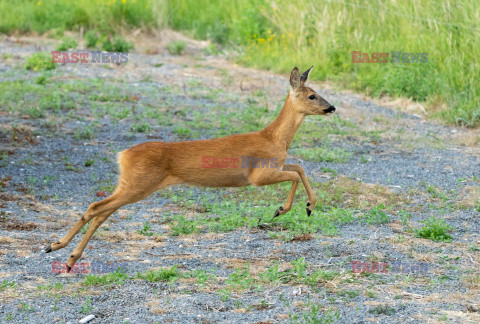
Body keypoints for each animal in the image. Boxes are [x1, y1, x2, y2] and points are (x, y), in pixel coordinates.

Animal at [47, 66, 336, 270]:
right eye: (312, 95)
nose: (331, 107)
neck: (274, 138)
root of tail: (123, 155)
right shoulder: (258, 175)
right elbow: (296, 173)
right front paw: (284, 209)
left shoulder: (274, 166)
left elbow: (300, 168)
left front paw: (307, 206)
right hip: (140, 184)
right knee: (96, 207)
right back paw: (64, 253)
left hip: (130, 184)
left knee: (101, 212)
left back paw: (61, 251)